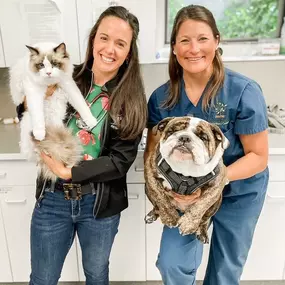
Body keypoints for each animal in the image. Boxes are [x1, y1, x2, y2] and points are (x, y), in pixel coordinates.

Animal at [9, 41, 91, 180]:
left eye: (54, 64)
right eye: (41, 65)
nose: (48, 73)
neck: (49, 83)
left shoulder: (68, 85)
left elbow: (81, 104)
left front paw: (92, 121)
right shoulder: (34, 92)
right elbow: (37, 115)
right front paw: (39, 133)